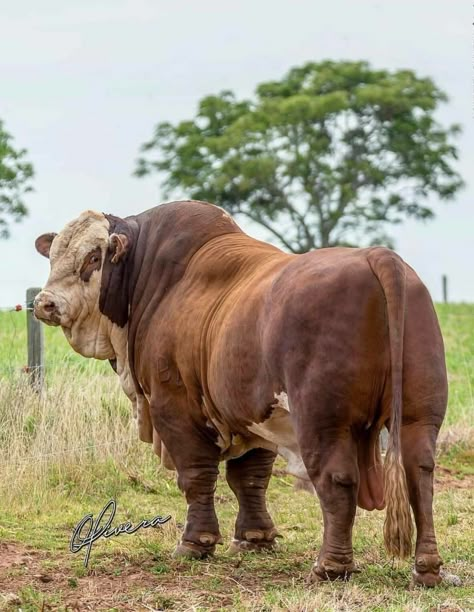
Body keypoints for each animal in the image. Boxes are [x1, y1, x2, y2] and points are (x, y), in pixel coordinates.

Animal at [35, 198, 446, 584]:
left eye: (93, 257)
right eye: (53, 256)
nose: (45, 303)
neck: (152, 278)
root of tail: (377, 255)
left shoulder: (173, 405)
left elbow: (196, 475)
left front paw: (195, 543)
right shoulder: (253, 412)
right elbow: (250, 477)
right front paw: (255, 537)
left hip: (323, 421)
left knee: (337, 479)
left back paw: (330, 566)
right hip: (418, 415)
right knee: (420, 473)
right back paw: (426, 568)